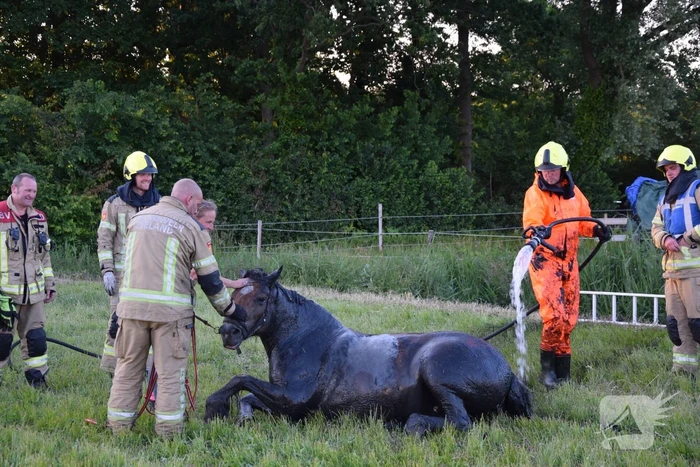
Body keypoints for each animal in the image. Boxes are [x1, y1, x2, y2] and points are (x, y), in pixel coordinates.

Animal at [204, 267, 532, 435]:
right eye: (234, 293)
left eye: (260, 298)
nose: (228, 332)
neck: (304, 339)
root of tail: (508, 371)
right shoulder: (287, 405)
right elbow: (248, 395)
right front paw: (242, 417)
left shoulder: (293, 399)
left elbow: (241, 379)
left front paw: (214, 407)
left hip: (436, 371)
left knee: (460, 422)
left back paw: (408, 424)